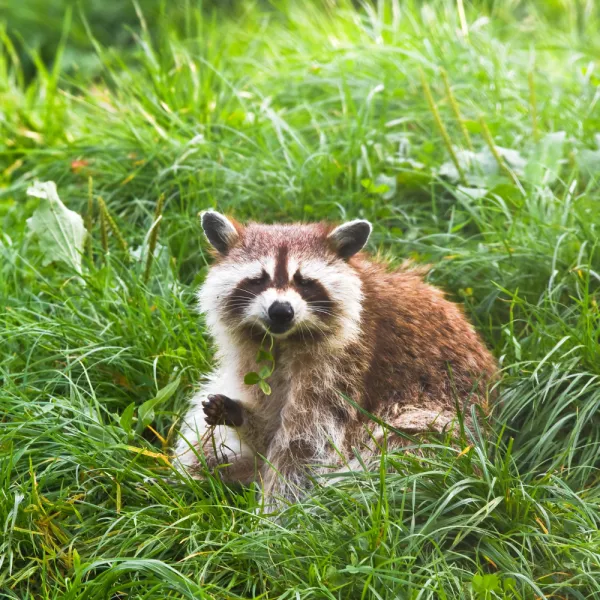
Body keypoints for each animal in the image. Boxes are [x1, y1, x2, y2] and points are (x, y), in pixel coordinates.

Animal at [173, 211, 496, 506]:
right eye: (258, 280)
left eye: (304, 281)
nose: (281, 311)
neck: (283, 341)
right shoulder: (252, 358)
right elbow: (268, 427)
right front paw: (243, 420)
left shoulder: (344, 365)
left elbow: (304, 445)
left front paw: (278, 515)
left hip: (444, 421)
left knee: (402, 450)